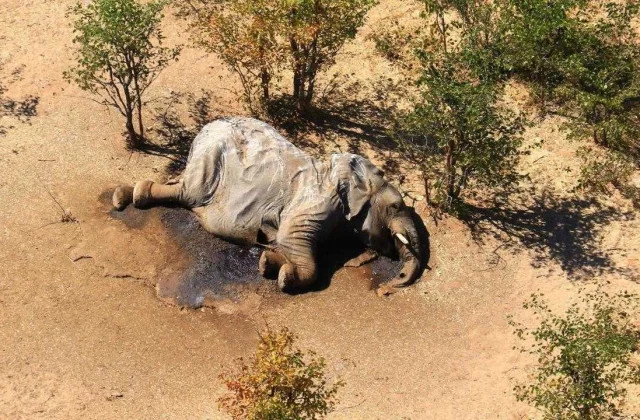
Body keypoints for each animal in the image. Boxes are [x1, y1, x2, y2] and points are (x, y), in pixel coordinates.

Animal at [112, 117, 426, 295]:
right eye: (396, 206)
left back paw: (124, 195)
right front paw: (286, 277)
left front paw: (268, 263)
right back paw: (129, 197)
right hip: (210, 157)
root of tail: (206, 127)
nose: (387, 289)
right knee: (188, 193)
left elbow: (288, 244)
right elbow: (292, 240)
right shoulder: (318, 202)